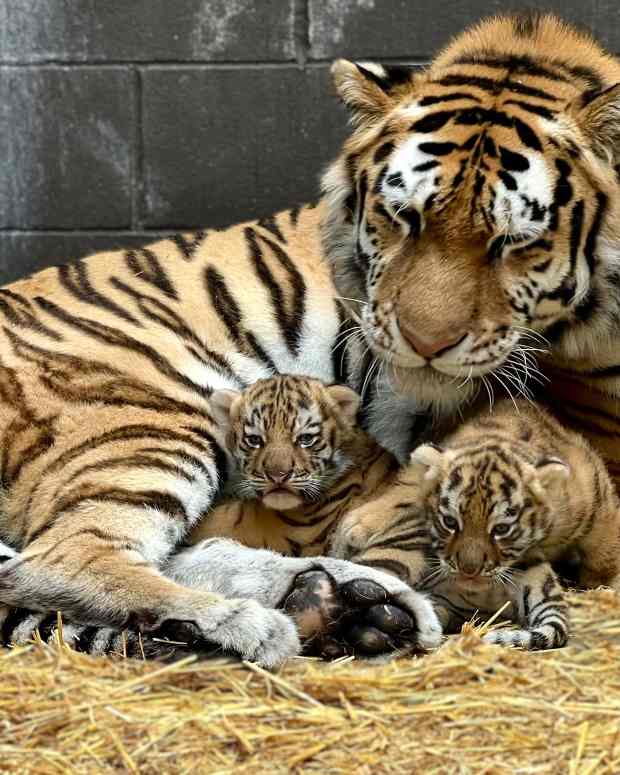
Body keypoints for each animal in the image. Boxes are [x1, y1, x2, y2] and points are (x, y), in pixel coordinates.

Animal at [1, 12, 620, 664]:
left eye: (514, 241)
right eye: (403, 217)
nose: (422, 343)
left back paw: (345, 603)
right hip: (149, 416)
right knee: (59, 557)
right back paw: (263, 622)